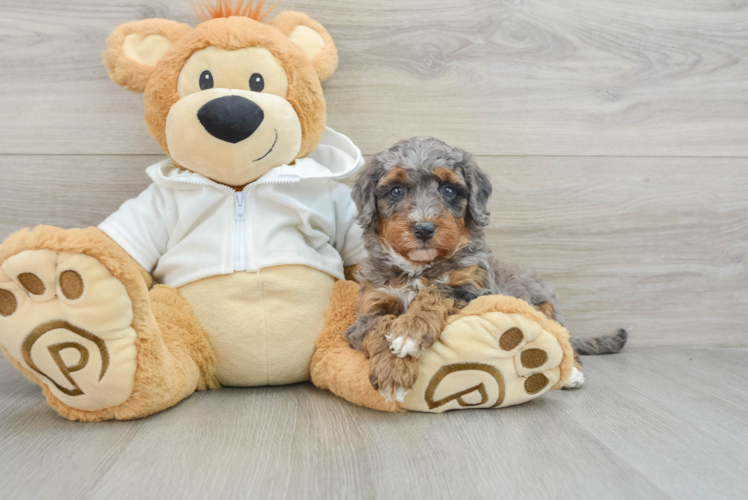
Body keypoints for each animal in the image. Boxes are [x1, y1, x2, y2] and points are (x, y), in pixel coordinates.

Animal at [348, 137, 628, 402]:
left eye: (449, 189)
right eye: (395, 190)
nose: (424, 229)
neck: (419, 269)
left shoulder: (480, 290)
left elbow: (438, 291)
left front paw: (409, 332)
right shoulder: (370, 307)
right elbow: (379, 326)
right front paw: (392, 370)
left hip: (547, 305)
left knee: (563, 339)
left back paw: (572, 373)